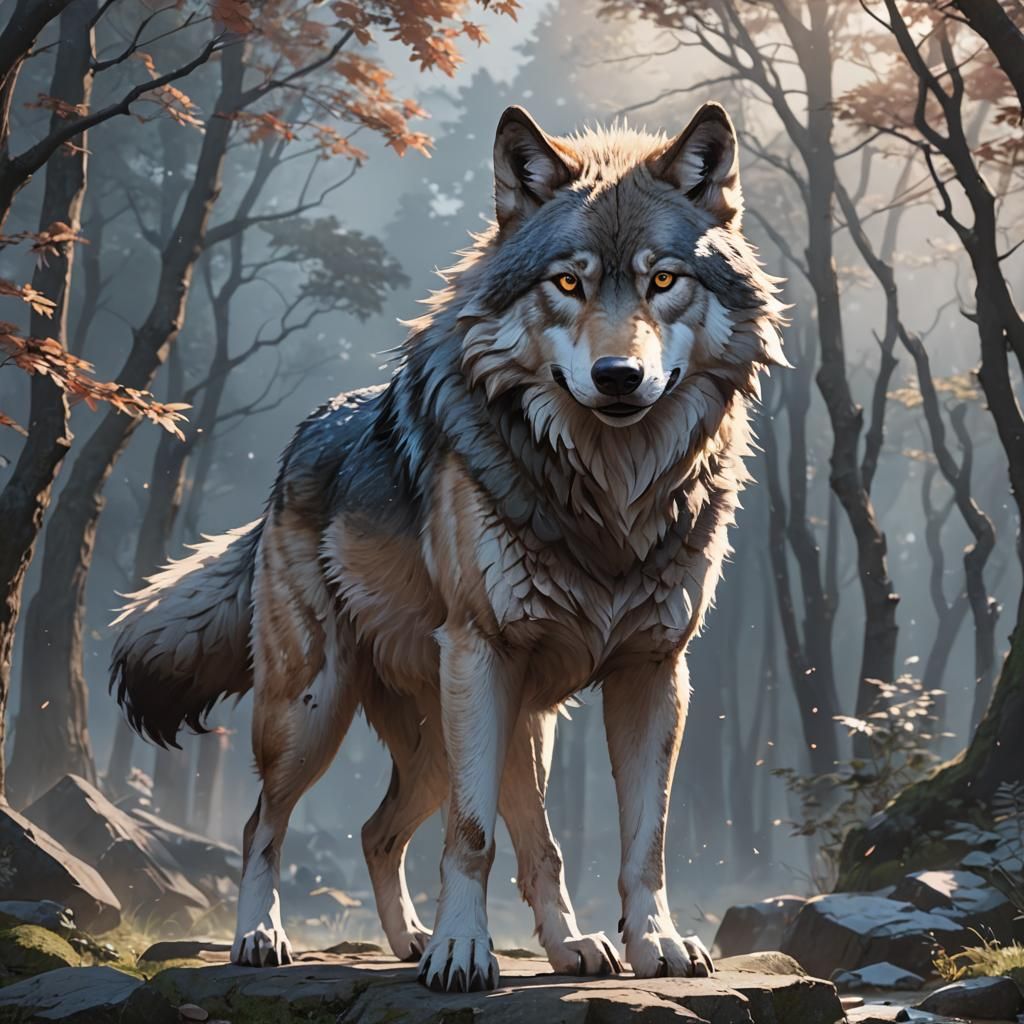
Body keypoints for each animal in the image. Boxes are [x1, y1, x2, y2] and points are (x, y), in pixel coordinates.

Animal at [112, 101, 786, 992]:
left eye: (663, 281)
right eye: (566, 282)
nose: (617, 376)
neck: (608, 497)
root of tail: (302, 438)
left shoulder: (653, 671)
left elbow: (645, 841)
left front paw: (657, 945)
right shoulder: (481, 653)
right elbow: (471, 837)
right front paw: (462, 952)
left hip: (488, 732)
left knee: (398, 832)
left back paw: (512, 944)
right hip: (319, 711)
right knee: (264, 823)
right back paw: (264, 938)